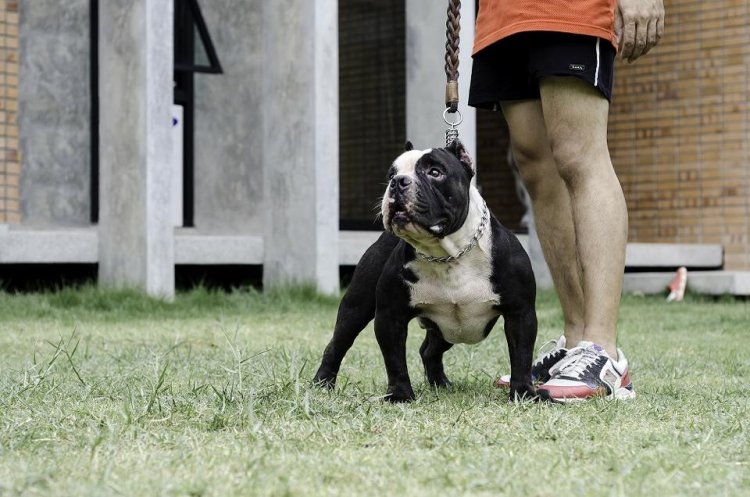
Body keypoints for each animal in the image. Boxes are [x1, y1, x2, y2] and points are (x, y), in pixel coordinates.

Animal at [313, 140, 537, 402]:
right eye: (390, 174)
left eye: (435, 172)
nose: (398, 181)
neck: (447, 254)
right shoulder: (390, 316)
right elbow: (395, 361)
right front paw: (400, 395)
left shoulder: (520, 313)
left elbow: (521, 357)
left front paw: (523, 393)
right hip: (357, 307)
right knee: (338, 344)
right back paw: (322, 383)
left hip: (449, 330)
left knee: (429, 350)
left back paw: (440, 383)